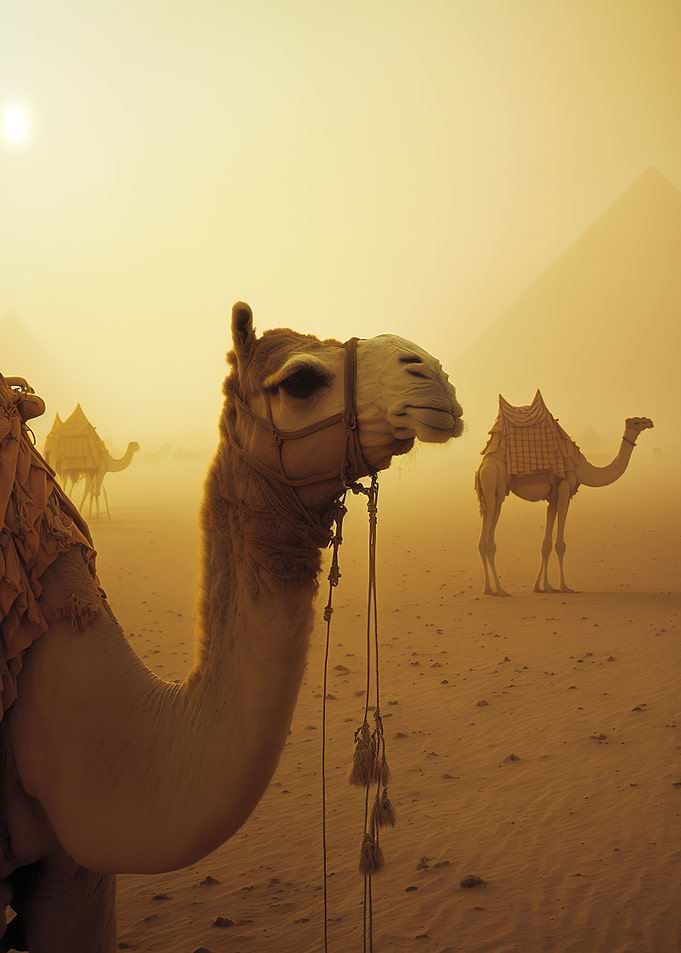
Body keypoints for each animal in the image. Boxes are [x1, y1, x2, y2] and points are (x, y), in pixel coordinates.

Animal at [475, 390, 653, 596]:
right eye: (637, 422)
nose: (649, 421)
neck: (581, 467)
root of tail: (482, 466)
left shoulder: (553, 498)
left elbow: (546, 545)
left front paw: (543, 587)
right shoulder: (565, 490)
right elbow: (560, 545)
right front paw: (564, 586)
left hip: (498, 491)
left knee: (489, 532)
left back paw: (493, 588)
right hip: (492, 479)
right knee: (487, 537)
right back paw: (496, 589)